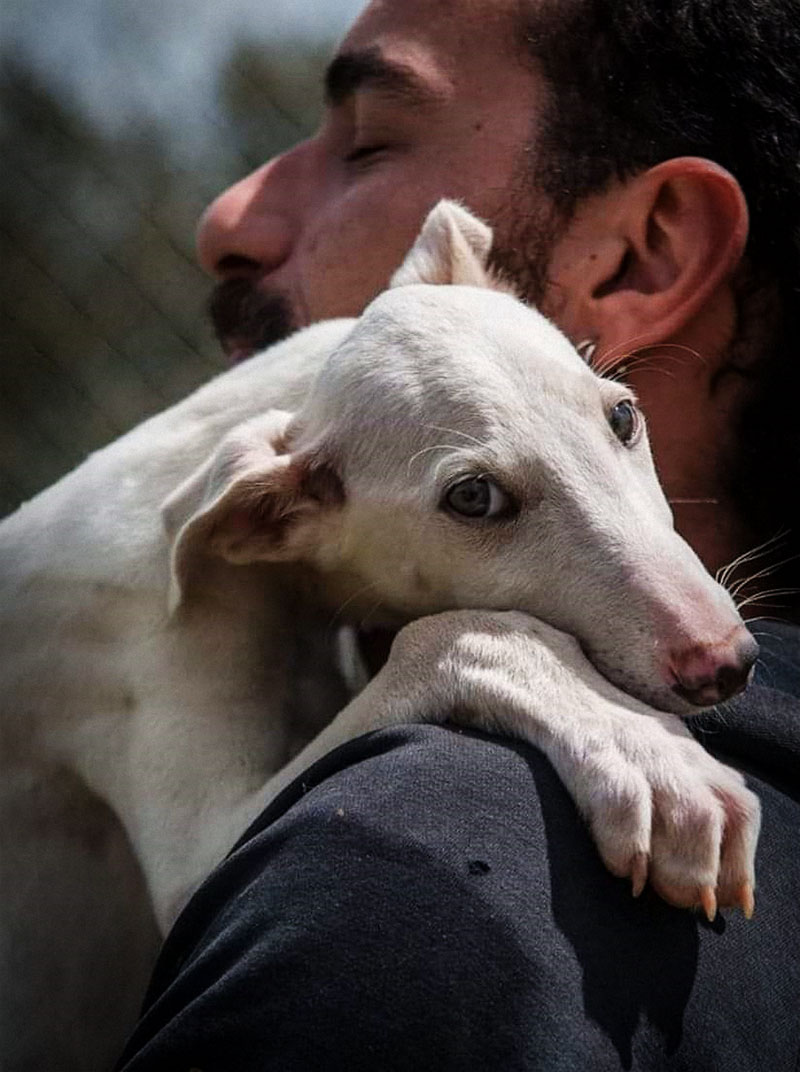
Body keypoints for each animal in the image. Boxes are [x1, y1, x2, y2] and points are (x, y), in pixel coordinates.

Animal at [0, 199, 759, 1063]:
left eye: (623, 415)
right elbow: (455, 633)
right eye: (473, 498)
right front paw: (651, 758)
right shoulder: (180, 786)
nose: (726, 663)